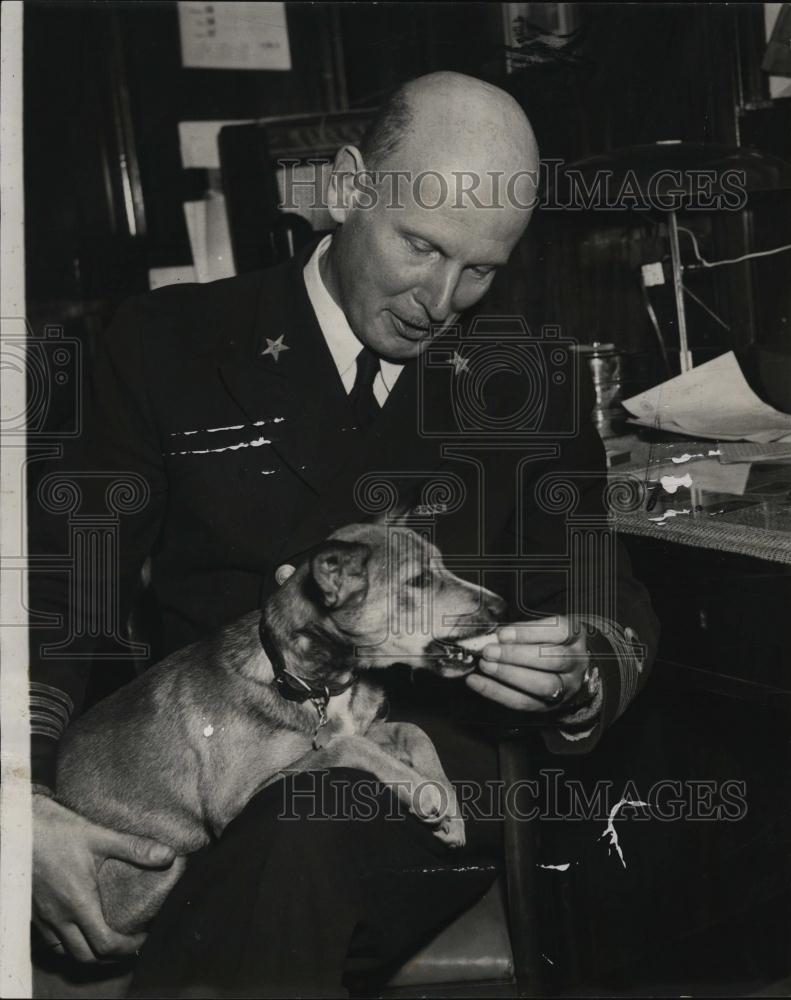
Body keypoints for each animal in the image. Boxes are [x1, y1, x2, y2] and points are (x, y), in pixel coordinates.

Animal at [55, 520, 504, 932]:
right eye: (420, 581)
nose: (502, 607)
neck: (306, 682)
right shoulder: (234, 802)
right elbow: (346, 747)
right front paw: (423, 792)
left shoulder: (362, 728)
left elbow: (413, 731)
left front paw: (447, 803)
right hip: (165, 866)